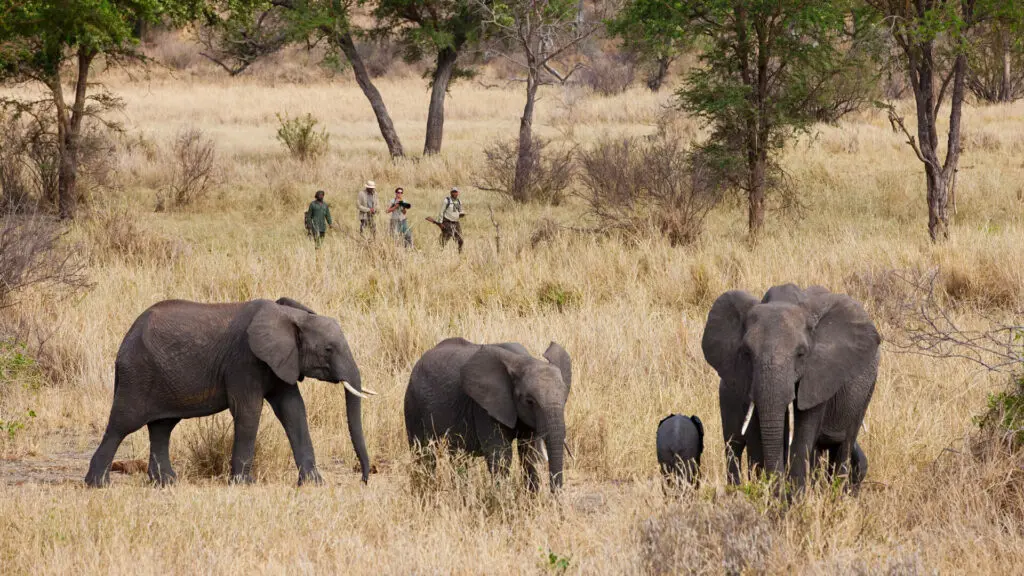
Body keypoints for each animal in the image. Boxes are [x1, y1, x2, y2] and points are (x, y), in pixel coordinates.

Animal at [85, 297, 373, 487]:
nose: (364, 479)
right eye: (328, 349)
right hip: (137, 374)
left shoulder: (281, 361)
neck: (291, 316)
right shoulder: (244, 360)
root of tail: (126, 337)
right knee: (122, 424)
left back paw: (166, 483)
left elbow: (293, 411)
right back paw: (97, 484)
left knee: (161, 427)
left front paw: (314, 484)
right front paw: (244, 484)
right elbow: (248, 411)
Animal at [404, 338, 571, 492]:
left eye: (564, 399)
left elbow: (528, 454)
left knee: (457, 456)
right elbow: (501, 456)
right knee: (424, 453)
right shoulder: (484, 408)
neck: (523, 361)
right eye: (530, 401)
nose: (555, 498)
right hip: (413, 404)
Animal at [701, 284, 880, 490]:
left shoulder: (818, 375)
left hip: (867, 388)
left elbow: (803, 433)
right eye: (746, 353)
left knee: (846, 442)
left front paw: (794, 497)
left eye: (801, 354)